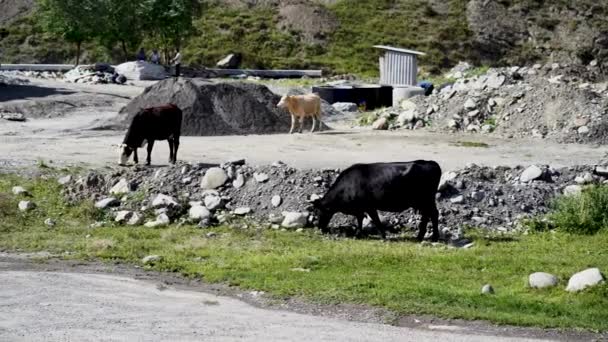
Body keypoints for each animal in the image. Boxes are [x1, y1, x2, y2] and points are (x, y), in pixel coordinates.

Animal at [314, 160, 442, 240]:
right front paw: (359, 234)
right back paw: (420, 237)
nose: (319, 227)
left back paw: (433, 237)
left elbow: (375, 221)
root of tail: (431, 163)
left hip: (426, 200)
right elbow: (360, 220)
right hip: (423, 202)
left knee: (433, 214)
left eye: (319, 212)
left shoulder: (369, 207)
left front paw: (383, 236)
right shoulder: (360, 209)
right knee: (427, 215)